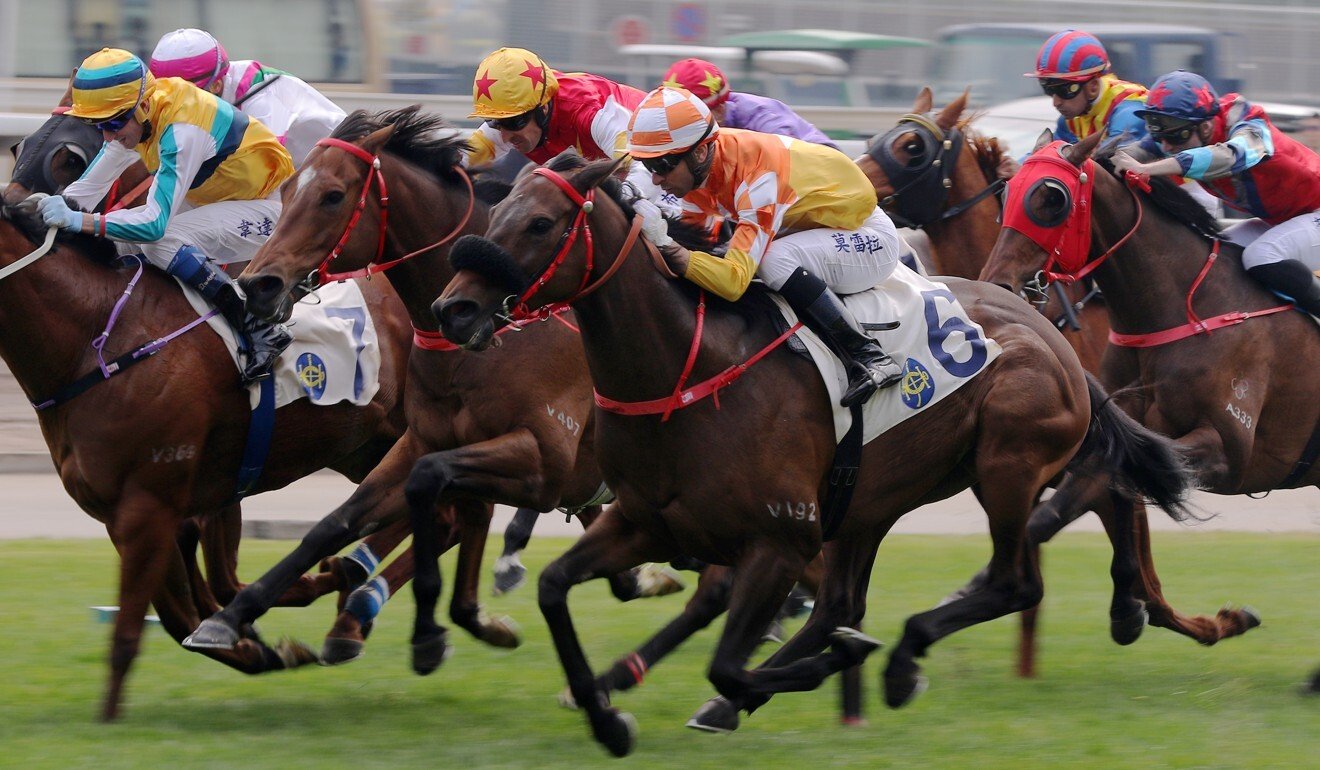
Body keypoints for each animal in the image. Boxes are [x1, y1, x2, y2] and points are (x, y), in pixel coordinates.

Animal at [0, 200, 411, 723]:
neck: (95, 345)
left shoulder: (149, 505)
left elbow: (146, 624)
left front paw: (108, 720)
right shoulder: (133, 514)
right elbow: (184, 613)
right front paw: (263, 649)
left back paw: (352, 592)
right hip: (365, 449)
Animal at [183, 105, 657, 665]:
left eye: (333, 195)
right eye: (288, 189)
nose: (257, 284)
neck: (486, 341)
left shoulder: (542, 458)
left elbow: (429, 490)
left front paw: (425, 627)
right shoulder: (421, 441)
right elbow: (335, 524)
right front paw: (228, 617)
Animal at [435, 153, 1198, 755]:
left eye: (540, 224)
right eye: (500, 209)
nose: (453, 310)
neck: (686, 370)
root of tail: (1052, 335)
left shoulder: (778, 536)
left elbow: (728, 660)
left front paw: (810, 672)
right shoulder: (646, 521)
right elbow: (554, 586)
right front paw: (606, 716)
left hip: (1005, 465)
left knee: (1013, 583)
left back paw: (900, 660)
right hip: (872, 498)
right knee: (840, 602)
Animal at [987, 134, 1304, 686]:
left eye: (1051, 198)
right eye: (1006, 192)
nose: (998, 284)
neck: (1186, 309)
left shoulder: (1226, 448)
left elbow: (1057, 514)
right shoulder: (1123, 434)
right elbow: (1117, 504)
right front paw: (1139, 609)